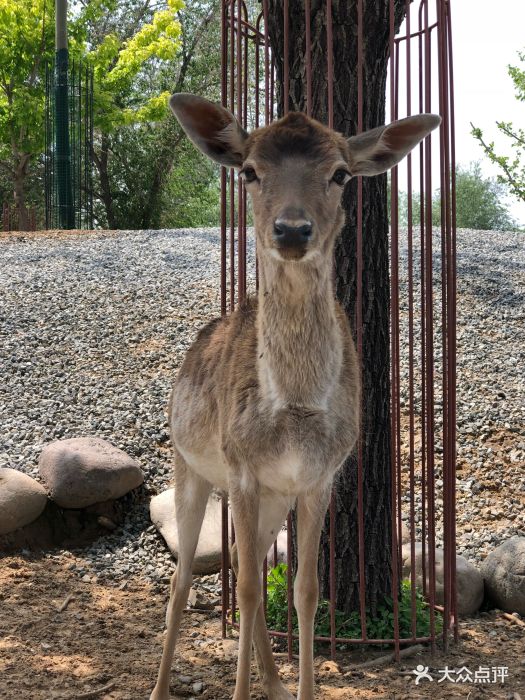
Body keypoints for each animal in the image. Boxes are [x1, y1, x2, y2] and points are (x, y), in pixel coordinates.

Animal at [149, 94, 440, 700]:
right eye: (249, 170)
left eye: (340, 174)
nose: (291, 229)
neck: (296, 408)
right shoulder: (239, 468)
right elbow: (247, 590)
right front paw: (243, 692)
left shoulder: (318, 477)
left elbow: (304, 590)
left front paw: (297, 686)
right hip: (191, 467)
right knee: (184, 578)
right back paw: (160, 688)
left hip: (271, 498)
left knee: (247, 561)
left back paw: (275, 684)